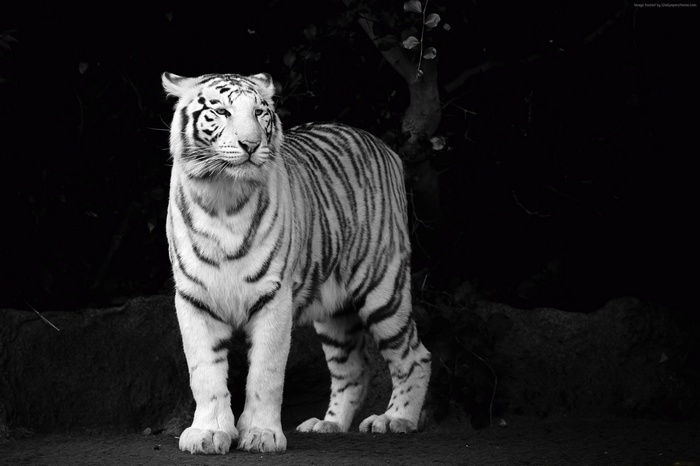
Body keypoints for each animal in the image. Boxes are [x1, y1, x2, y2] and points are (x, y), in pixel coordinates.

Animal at [161, 71, 432, 455]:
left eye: (260, 112)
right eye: (221, 111)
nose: (250, 144)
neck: (223, 198)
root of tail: (383, 146)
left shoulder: (274, 296)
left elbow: (266, 372)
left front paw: (261, 434)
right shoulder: (194, 298)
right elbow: (205, 372)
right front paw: (208, 433)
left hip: (383, 288)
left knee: (415, 355)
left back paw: (396, 419)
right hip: (335, 312)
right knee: (354, 369)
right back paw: (328, 424)